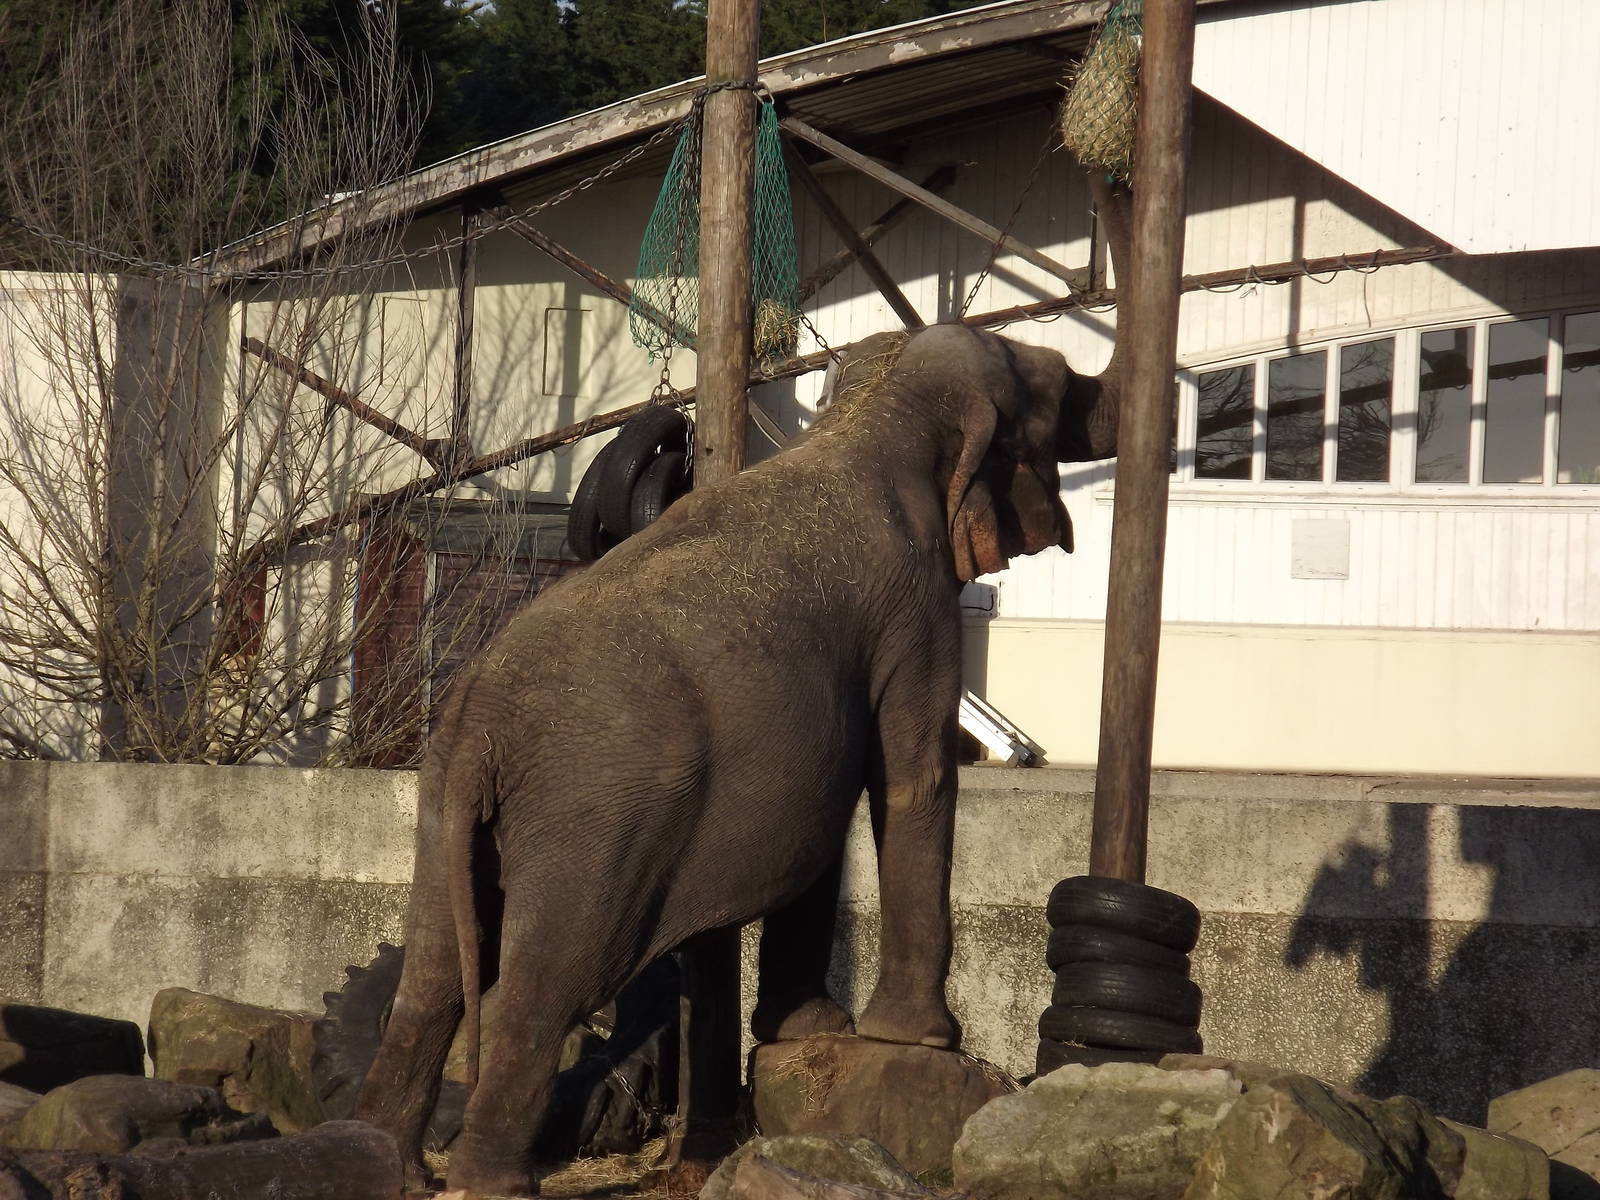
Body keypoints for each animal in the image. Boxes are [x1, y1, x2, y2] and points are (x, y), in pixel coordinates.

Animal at [353, 323, 1119, 1196]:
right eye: (1052, 397)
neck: (865, 416)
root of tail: (480, 723)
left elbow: (827, 822)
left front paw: (815, 1031)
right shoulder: (914, 604)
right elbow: (911, 781)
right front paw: (921, 1041)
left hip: (444, 807)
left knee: (432, 979)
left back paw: (386, 1164)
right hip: (594, 827)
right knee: (545, 985)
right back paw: (487, 1183)